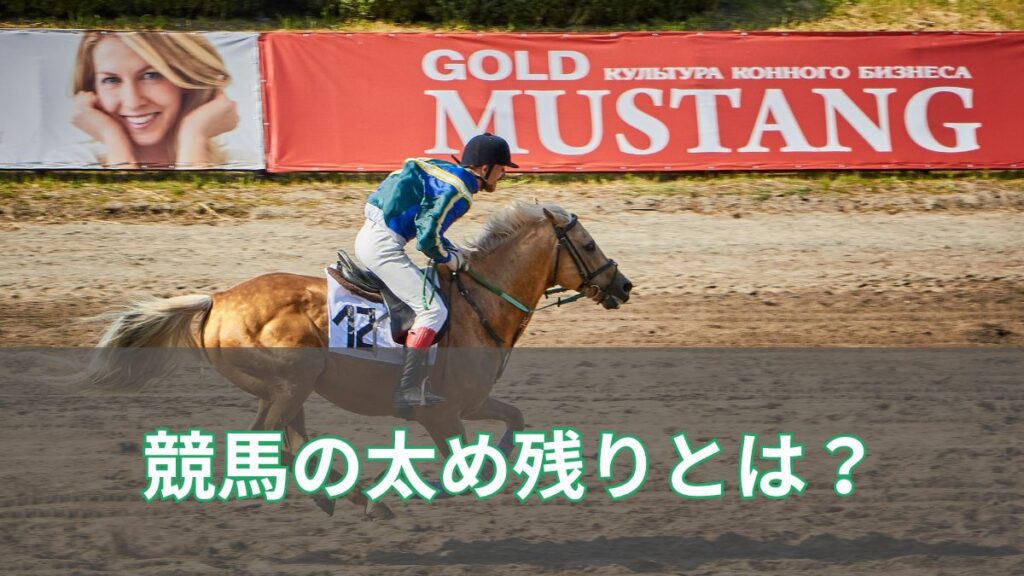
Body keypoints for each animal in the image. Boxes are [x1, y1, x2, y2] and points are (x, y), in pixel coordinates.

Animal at [82, 202, 633, 519]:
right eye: (587, 245)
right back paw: (355, 498)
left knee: (291, 445)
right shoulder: (440, 412)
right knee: (270, 445)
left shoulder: (471, 403)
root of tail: (216, 300)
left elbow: (514, 420)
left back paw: (348, 499)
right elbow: (463, 461)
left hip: (289, 390)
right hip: (290, 384)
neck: (480, 304)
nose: (623, 285)